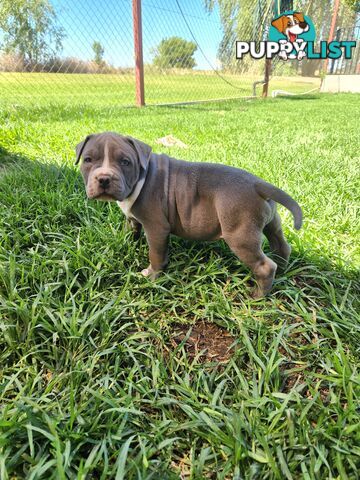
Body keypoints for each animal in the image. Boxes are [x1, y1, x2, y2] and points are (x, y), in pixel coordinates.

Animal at [75, 131, 300, 296]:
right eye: (88, 160)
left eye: (125, 162)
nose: (104, 178)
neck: (141, 177)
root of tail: (258, 184)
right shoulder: (133, 219)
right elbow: (131, 229)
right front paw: (125, 243)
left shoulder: (157, 228)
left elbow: (156, 253)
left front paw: (152, 276)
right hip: (272, 222)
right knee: (281, 245)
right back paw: (282, 270)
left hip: (240, 235)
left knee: (264, 266)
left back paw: (257, 296)